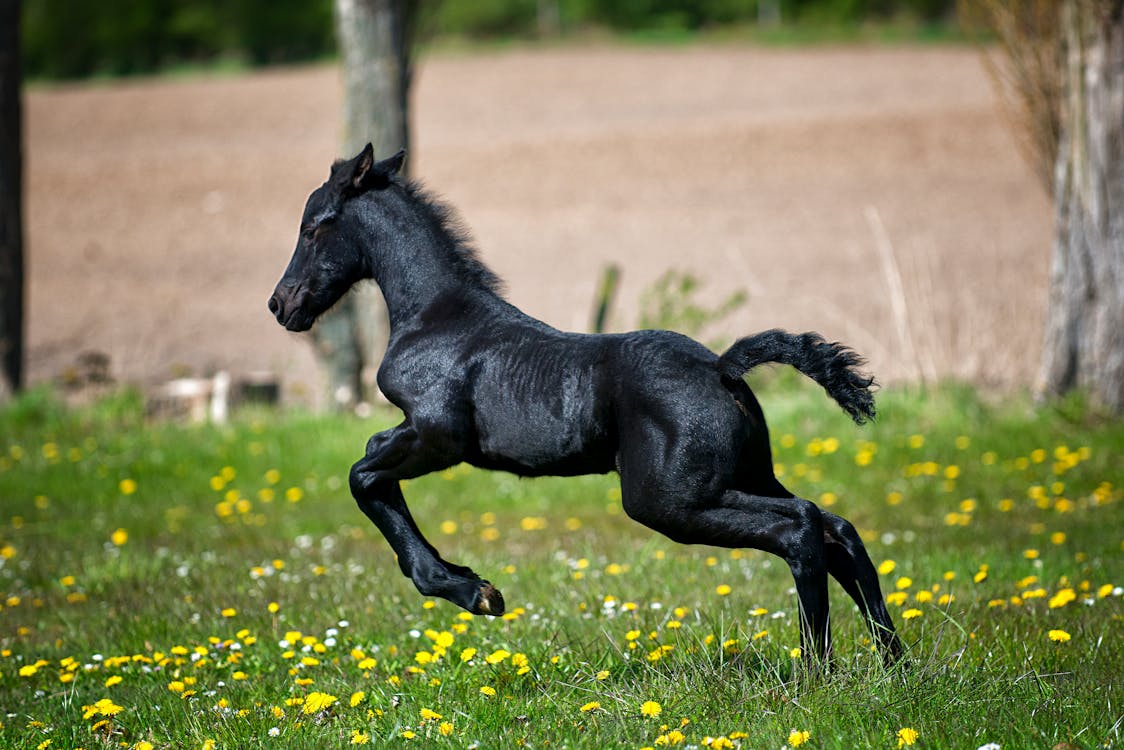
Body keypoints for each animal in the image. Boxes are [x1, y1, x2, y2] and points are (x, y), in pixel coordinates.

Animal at [265, 145, 903, 661]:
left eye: (312, 227)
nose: (280, 304)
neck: (437, 317)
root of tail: (722, 367)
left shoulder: (437, 436)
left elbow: (363, 475)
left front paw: (474, 591)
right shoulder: (416, 435)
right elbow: (371, 468)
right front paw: (470, 584)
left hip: (671, 500)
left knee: (801, 528)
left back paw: (816, 668)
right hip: (741, 476)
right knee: (836, 526)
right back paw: (891, 663)